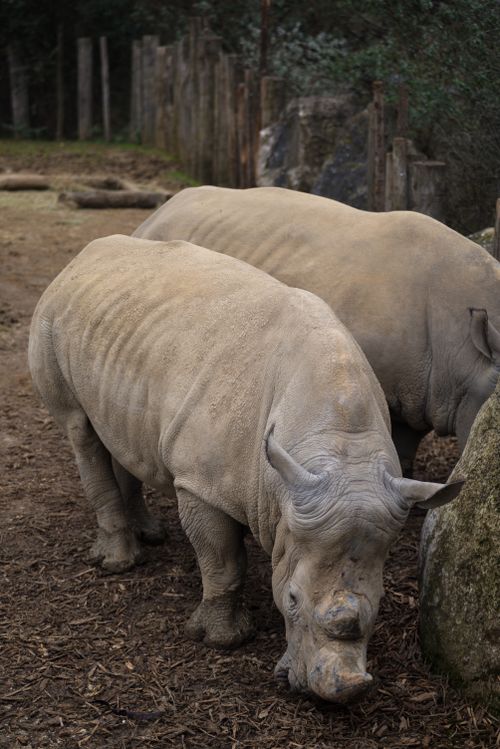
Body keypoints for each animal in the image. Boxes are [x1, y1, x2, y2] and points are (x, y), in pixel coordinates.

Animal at [29, 235, 462, 703]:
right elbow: (222, 560)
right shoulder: (201, 485)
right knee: (80, 429)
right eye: (290, 599)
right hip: (52, 317)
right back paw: (118, 564)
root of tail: (84, 256)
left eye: (381, 604)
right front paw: (223, 640)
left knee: (120, 435)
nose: (341, 693)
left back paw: (151, 535)